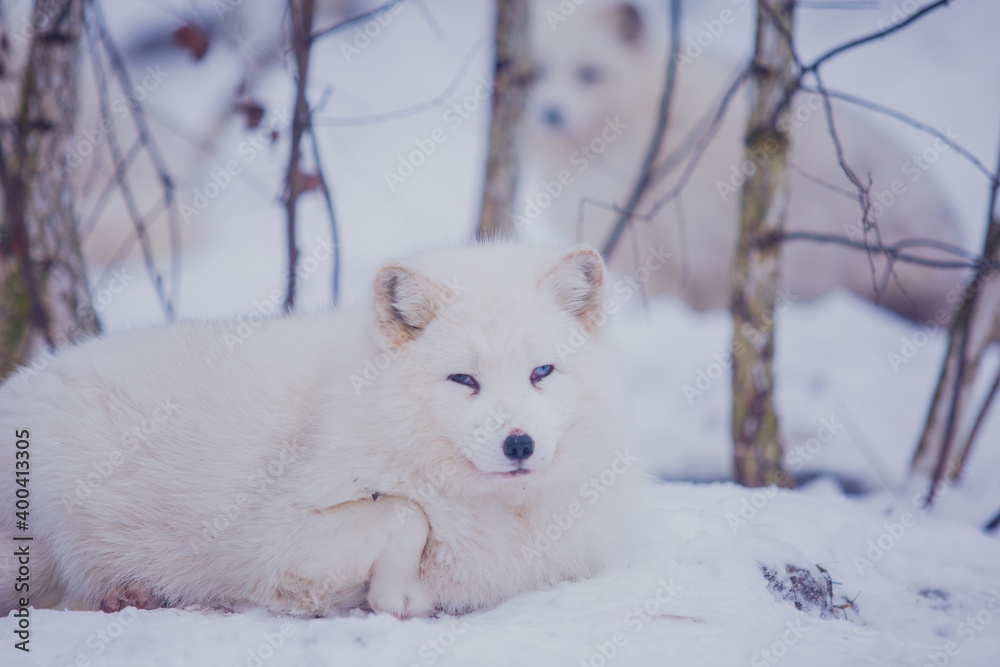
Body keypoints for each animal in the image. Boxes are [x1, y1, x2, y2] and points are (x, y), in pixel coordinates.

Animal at [0, 245, 636, 620]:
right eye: (464, 379)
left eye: (542, 372)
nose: (519, 444)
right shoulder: (267, 540)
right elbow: (404, 512)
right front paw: (396, 597)